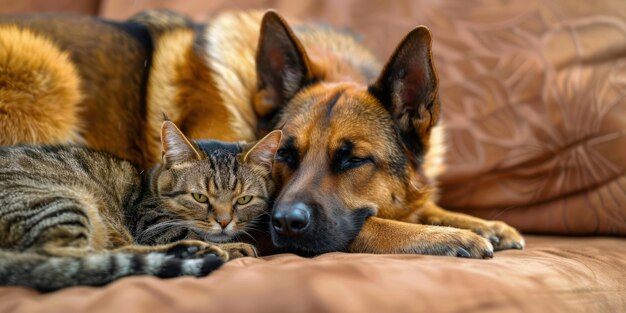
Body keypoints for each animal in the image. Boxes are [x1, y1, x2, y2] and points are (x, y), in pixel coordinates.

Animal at [0, 121, 280, 290]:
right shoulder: (151, 224)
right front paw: (233, 246)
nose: (224, 222)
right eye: (199, 197)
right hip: (60, 202)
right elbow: (185, 231)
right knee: (67, 258)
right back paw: (191, 252)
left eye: (243, 200)